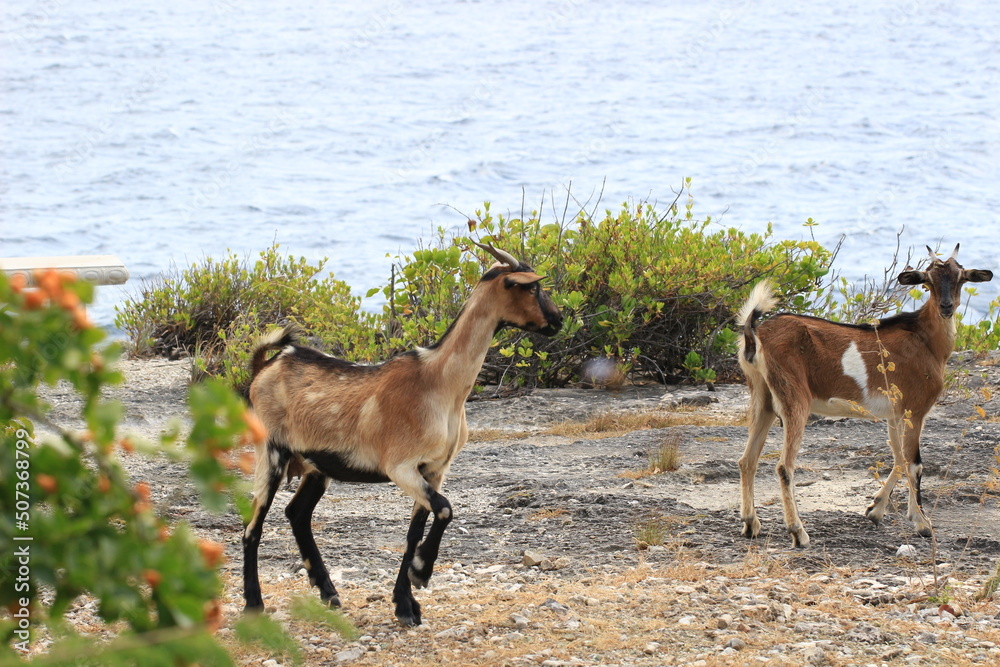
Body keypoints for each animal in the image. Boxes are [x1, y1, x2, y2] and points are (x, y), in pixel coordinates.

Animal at [241, 244, 563, 625]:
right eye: (532, 287)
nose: (558, 321)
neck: (439, 384)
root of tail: (265, 366)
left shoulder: (434, 469)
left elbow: (415, 531)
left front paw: (406, 604)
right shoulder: (400, 466)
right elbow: (445, 510)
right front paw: (421, 574)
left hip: (317, 465)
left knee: (297, 514)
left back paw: (329, 593)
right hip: (271, 451)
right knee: (253, 526)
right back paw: (254, 604)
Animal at [736, 244, 992, 547]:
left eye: (961, 278)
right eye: (928, 281)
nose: (946, 307)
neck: (926, 342)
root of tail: (755, 335)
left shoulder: (895, 413)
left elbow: (899, 458)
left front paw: (875, 509)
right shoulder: (915, 409)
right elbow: (914, 464)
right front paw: (922, 523)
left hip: (761, 397)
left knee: (747, 460)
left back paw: (751, 524)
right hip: (794, 398)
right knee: (784, 466)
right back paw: (798, 532)